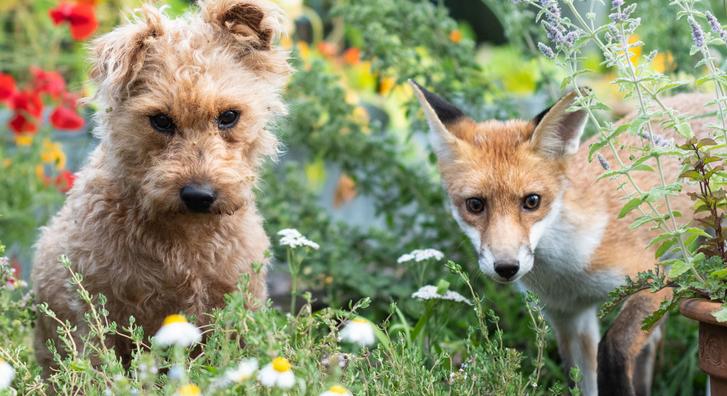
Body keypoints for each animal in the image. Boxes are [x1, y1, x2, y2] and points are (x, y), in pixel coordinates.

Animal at [31, 0, 292, 372]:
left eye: (229, 116)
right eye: (161, 120)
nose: (199, 195)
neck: (185, 242)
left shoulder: (237, 308)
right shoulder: (95, 314)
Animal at [412, 81, 712, 396]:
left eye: (532, 201)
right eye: (475, 205)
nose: (506, 268)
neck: (567, 270)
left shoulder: (656, 281)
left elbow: (614, 346)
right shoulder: (569, 318)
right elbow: (582, 383)